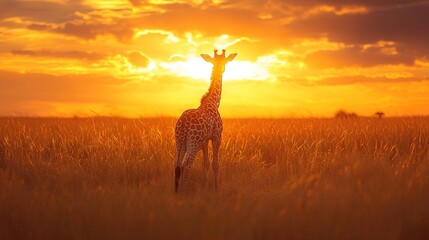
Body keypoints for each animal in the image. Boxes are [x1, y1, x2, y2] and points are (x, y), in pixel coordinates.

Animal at [173, 48, 236, 193]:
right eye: (225, 62)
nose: (224, 69)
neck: (213, 102)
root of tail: (184, 123)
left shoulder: (205, 140)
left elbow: (205, 163)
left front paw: (205, 187)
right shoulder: (217, 136)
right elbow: (215, 163)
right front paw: (216, 189)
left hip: (179, 141)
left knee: (177, 165)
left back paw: (177, 192)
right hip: (193, 142)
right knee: (186, 165)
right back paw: (184, 192)